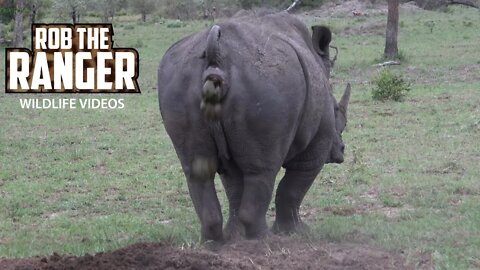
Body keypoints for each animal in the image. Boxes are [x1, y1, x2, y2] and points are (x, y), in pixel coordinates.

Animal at [159, 10, 350, 243]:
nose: (341, 151)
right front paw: (297, 232)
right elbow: (293, 187)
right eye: (337, 113)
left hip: (178, 82)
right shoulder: (316, 145)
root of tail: (216, 54)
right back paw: (264, 240)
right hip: (267, 84)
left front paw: (236, 236)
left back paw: (214, 242)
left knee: (198, 172)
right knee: (262, 171)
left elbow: (234, 187)